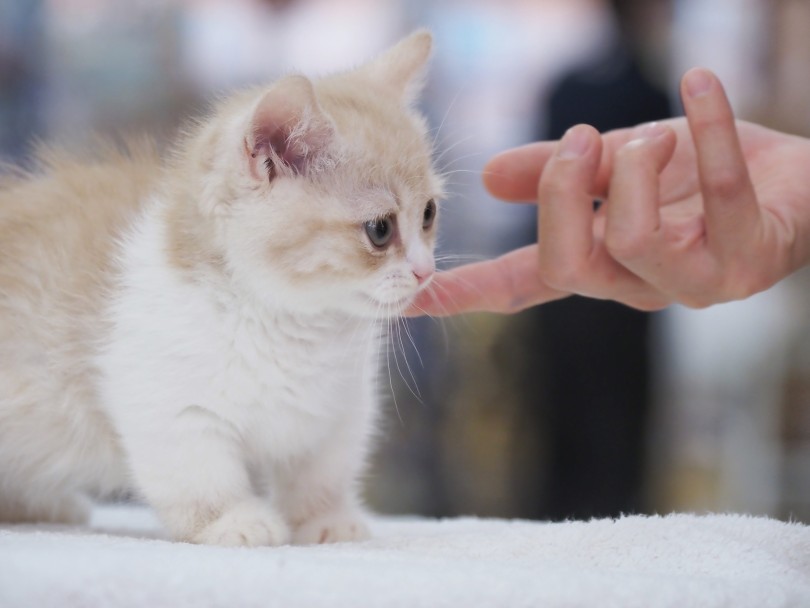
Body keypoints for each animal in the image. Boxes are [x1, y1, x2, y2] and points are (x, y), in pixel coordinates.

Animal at [0, 32, 442, 548]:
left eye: (429, 213)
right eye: (380, 229)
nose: (426, 271)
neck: (292, 326)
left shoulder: (338, 410)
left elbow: (321, 473)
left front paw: (327, 520)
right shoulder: (169, 407)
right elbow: (200, 477)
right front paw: (233, 520)